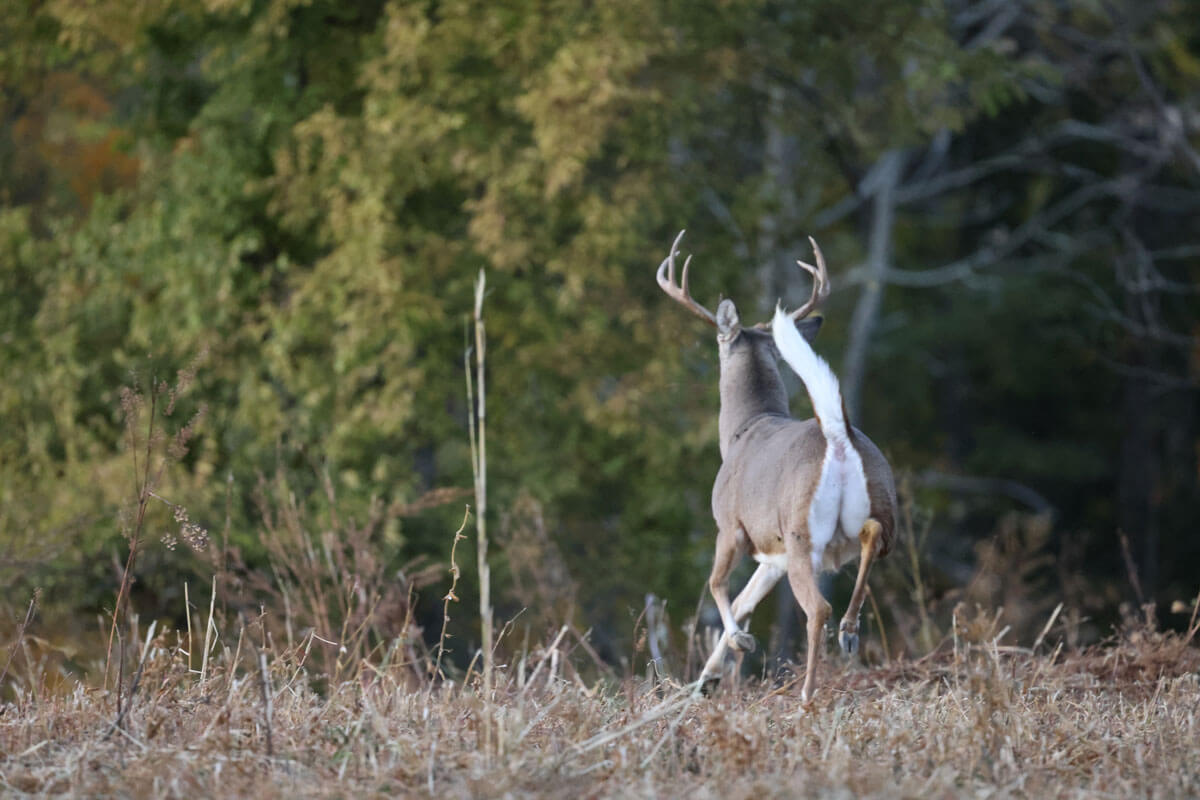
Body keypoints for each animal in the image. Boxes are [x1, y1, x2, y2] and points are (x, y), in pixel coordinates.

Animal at [656, 230, 897, 703]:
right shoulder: (773, 555)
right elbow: (745, 600)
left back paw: (806, 692)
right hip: (878, 501)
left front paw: (739, 642)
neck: (742, 430)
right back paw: (850, 630)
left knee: (817, 607)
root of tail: (837, 434)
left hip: (802, 529)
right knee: (873, 536)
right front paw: (706, 680)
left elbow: (717, 585)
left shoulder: (730, 524)